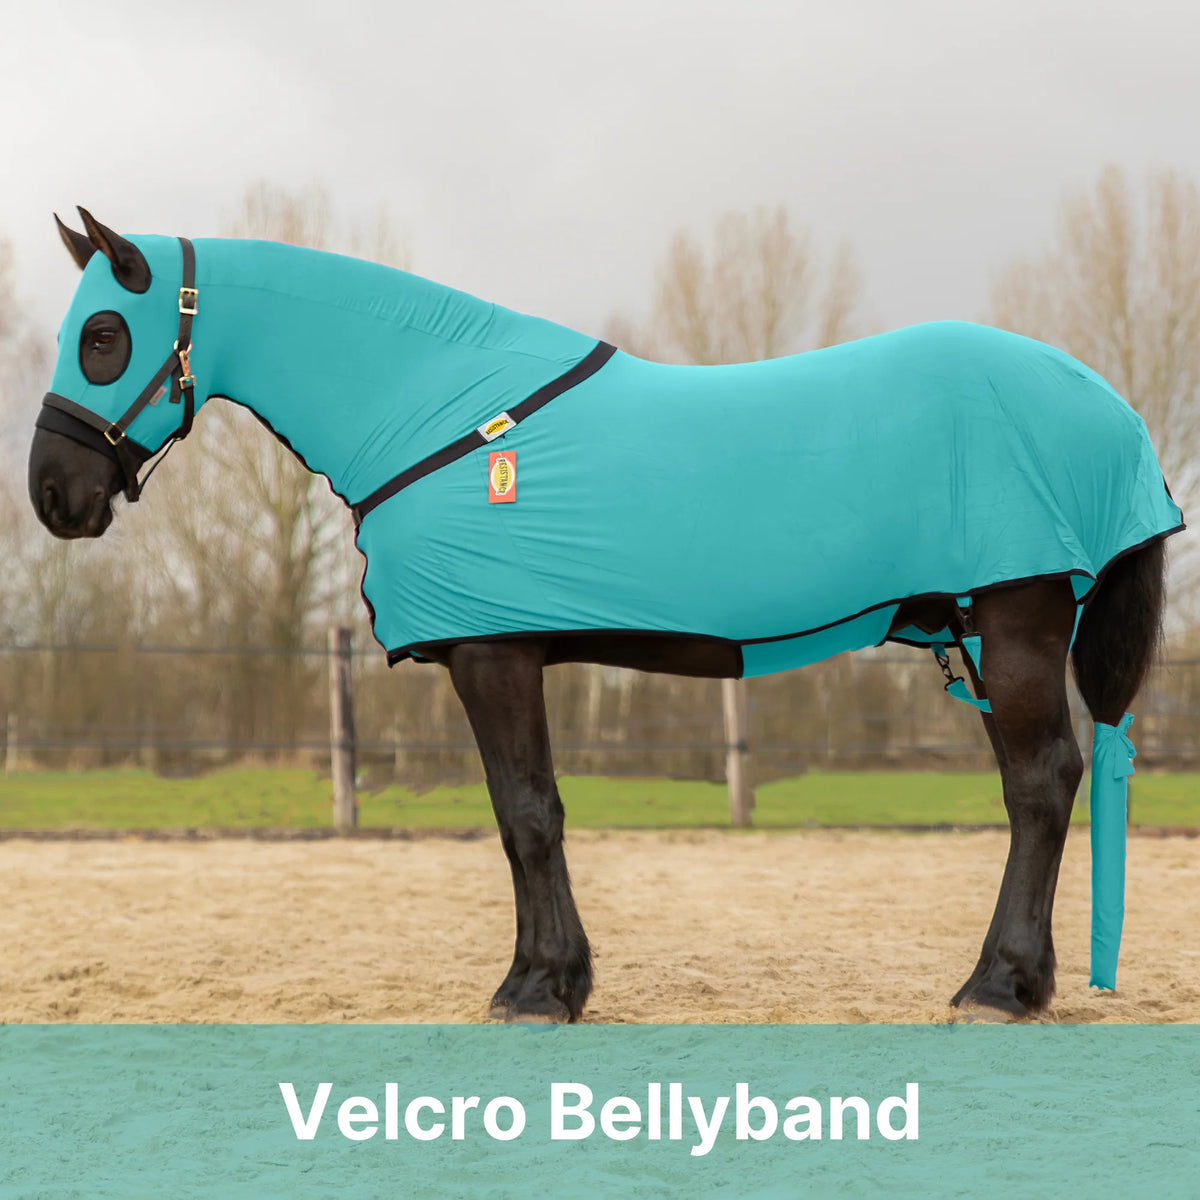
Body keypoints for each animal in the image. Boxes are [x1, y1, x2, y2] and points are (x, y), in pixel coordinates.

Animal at [29, 209, 1182, 1023]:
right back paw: (1022, 981)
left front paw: (537, 989)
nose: (53, 495)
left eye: (103, 335)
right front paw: (556, 980)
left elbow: (526, 814)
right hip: (987, 631)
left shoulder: (492, 653)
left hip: (1018, 618)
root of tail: (1102, 402)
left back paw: (997, 987)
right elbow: (525, 817)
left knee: (1040, 784)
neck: (442, 407)